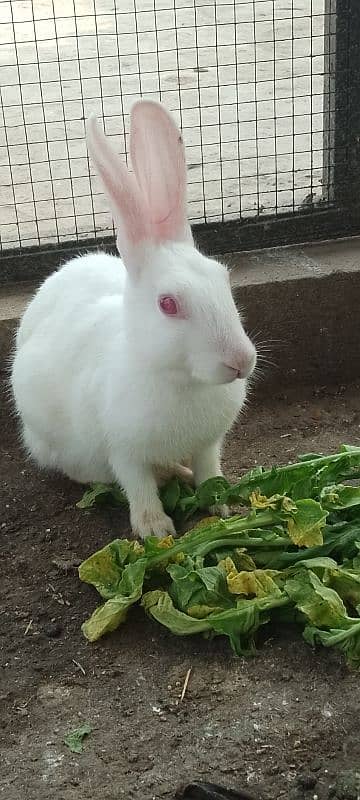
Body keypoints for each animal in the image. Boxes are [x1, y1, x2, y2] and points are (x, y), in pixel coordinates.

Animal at [10, 98, 256, 536]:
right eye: (168, 304)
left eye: (223, 277)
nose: (241, 362)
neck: (181, 381)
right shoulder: (123, 451)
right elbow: (138, 486)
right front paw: (156, 530)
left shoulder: (208, 445)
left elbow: (209, 471)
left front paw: (221, 503)